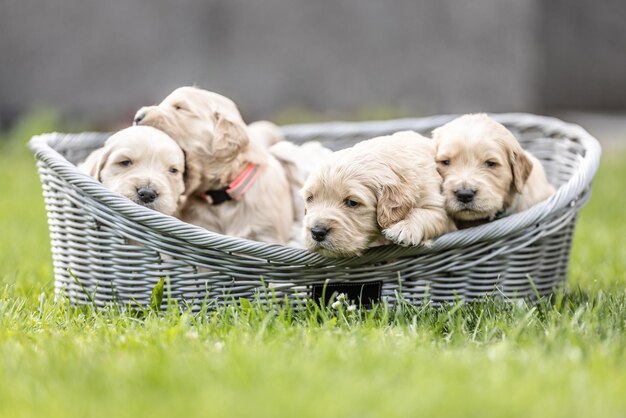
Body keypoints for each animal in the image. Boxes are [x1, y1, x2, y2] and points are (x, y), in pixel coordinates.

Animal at [300, 131, 450, 256]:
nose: (317, 232)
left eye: (352, 202)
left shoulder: (440, 208)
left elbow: (428, 213)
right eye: (310, 198)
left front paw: (403, 228)